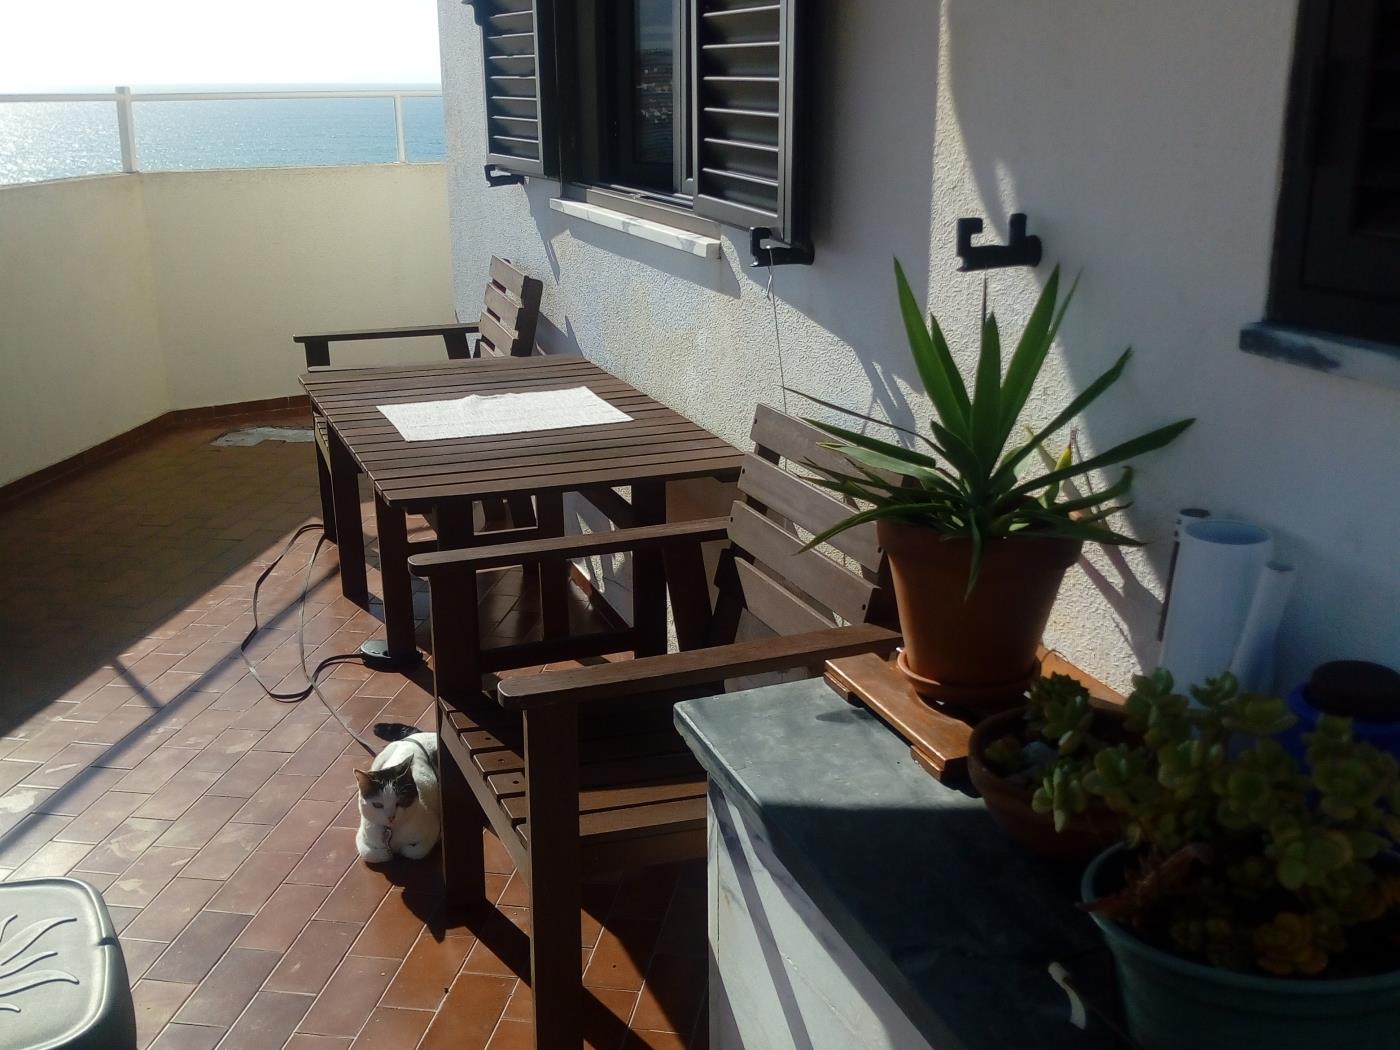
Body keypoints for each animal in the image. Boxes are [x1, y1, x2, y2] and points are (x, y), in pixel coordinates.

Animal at [352, 728, 439, 868]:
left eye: (400, 802)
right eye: (377, 805)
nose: (391, 817)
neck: (391, 833)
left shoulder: (433, 828)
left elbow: (414, 852)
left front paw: (402, 850)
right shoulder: (362, 837)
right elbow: (371, 853)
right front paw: (388, 854)